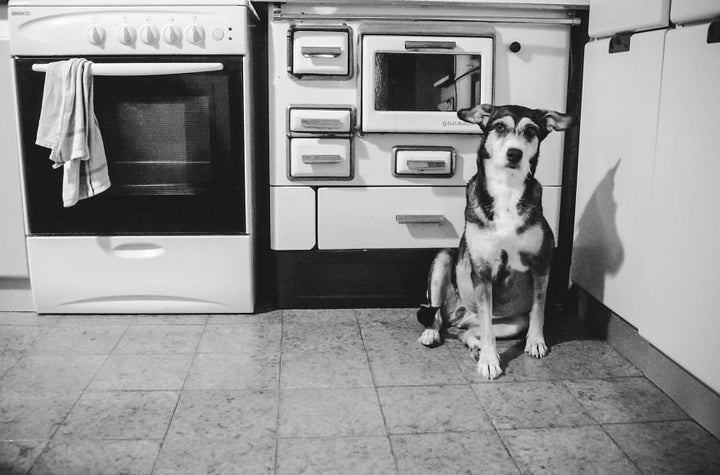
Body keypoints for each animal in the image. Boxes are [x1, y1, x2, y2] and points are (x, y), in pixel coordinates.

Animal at [416, 103, 572, 380]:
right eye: (499, 127)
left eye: (531, 131)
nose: (514, 153)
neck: (506, 190)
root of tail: (460, 316)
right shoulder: (483, 271)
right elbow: (487, 324)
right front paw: (489, 362)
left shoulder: (541, 263)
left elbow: (539, 307)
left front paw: (535, 342)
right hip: (443, 259)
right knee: (437, 314)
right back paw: (432, 333)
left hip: (513, 323)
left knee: (466, 333)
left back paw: (475, 346)